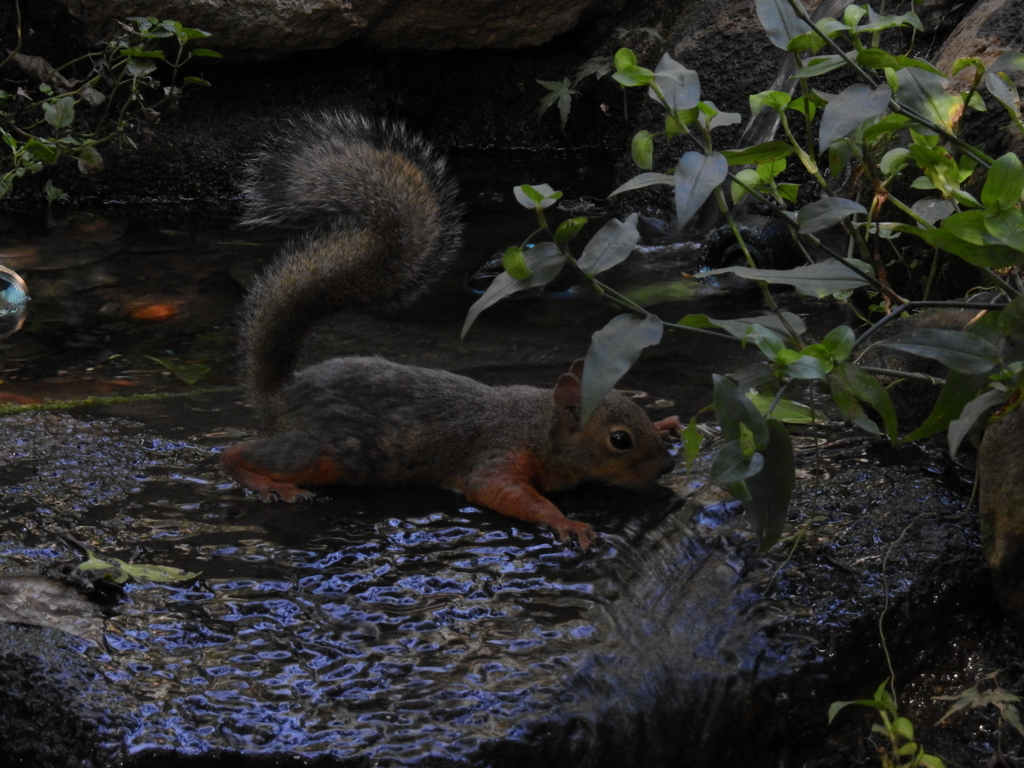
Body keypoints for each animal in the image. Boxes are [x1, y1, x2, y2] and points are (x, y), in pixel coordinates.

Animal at [223, 109, 679, 552]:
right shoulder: (498, 455)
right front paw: (567, 522)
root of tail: (279, 395)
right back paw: (266, 483)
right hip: (323, 453)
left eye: (637, 414)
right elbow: (502, 492)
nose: (668, 466)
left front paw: (665, 424)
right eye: (619, 440)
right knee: (238, 452)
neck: (540, 427)